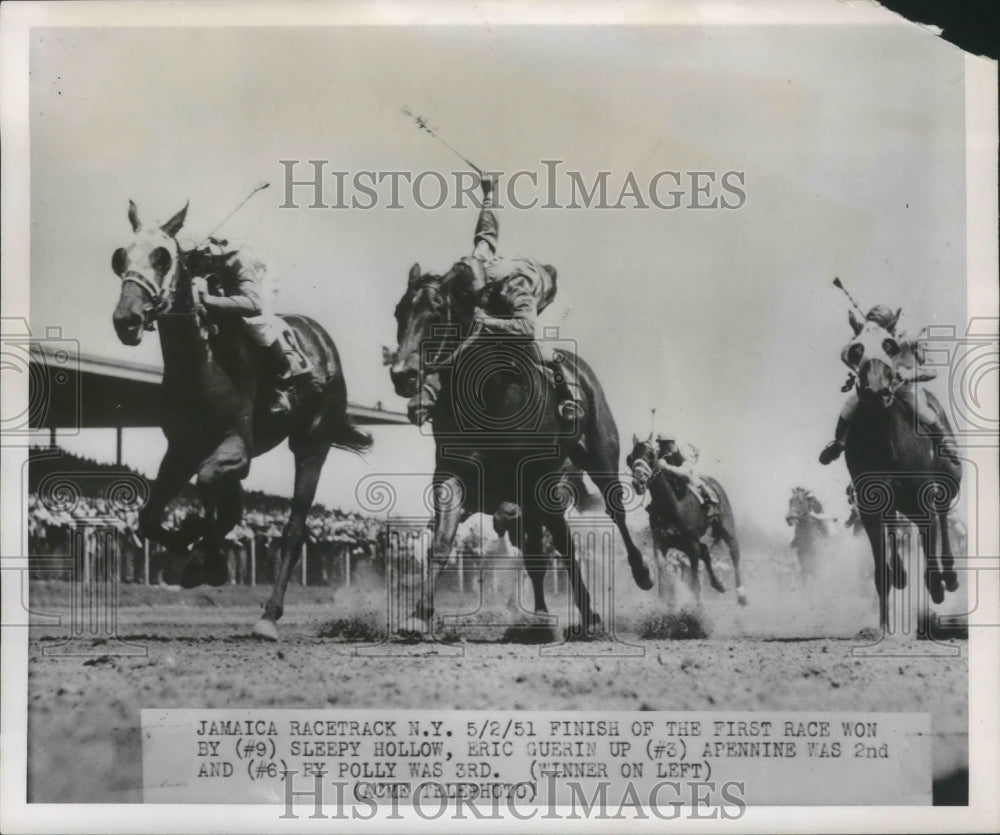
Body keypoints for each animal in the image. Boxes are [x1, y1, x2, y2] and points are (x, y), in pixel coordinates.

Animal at [112, 201, 372, 640]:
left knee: (293, 529)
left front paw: (205, 555)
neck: (202, 362)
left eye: (162, 256)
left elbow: (208, 484)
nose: (126, 320)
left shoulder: (237, 445)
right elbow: (150, 518)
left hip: (312, 443)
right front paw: (197, 552)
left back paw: (269, 615)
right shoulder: (182, 448)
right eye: (120, 258)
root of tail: (320, 335)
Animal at [386, 262, 652, 640]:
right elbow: (442, 541)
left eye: (436, 313)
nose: (403, 375)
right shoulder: (454, 473)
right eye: (399, 312)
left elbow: (557, 546)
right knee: (546, 551)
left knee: (615, 514)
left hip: (600, 461)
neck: (490, 396)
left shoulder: (534, 482)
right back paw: (547, 616)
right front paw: (417, 617)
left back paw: (639, 575)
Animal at [624, 438, 744, 608]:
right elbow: (663, 584)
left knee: (734, 550)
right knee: (705, 550)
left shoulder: (691, 545)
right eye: (630, 458)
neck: (673, 507)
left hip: (726, 525)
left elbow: (695, 585)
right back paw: (718, 584)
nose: (639, 482)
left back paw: (741, 594)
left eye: (651, 455)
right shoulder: (660, 542)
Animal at [836, 312, 960, 628]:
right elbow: (881, 571)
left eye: (889, 345)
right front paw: (884, 626)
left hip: (948, 481)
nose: (876, 390)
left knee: (943, 515)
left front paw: (938, 587)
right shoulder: (870, 507)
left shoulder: (923, 498)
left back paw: (950, 575)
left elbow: (930, 550)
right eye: (856, 349)